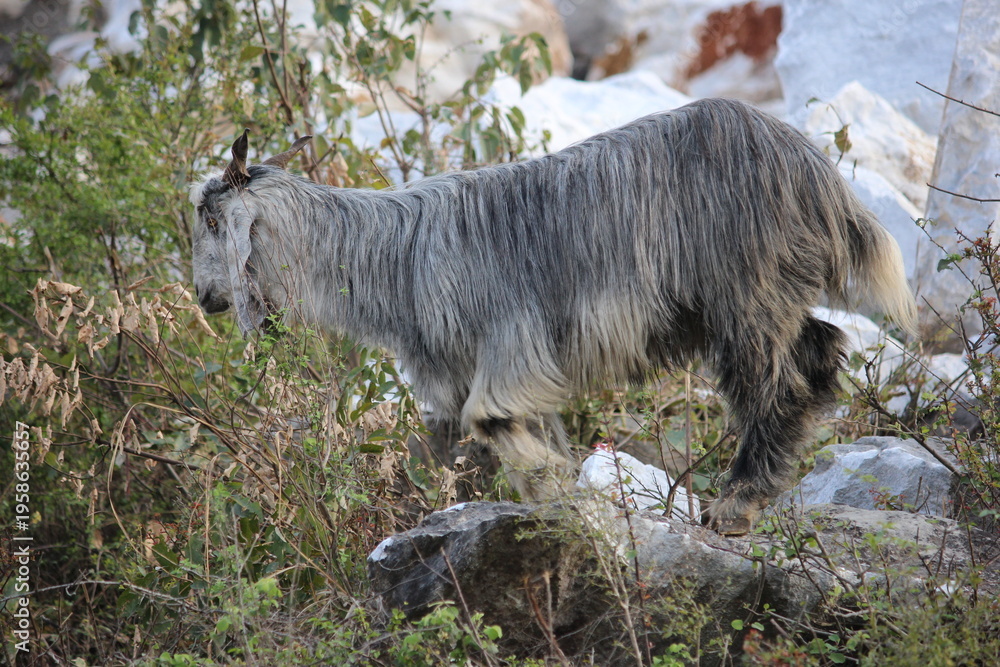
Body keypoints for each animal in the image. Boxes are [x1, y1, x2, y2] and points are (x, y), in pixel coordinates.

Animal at [191, 98, 916, 535]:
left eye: (211, 219)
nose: (203, 297)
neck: (392, 257)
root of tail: (817, 174)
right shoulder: (480, 372)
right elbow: (495, 442)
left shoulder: (512, 341)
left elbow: (494, 420)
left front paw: (566, 497)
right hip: (765, 293)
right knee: (818, 352)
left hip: (747, 287)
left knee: (778, 381)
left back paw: (736, 501)